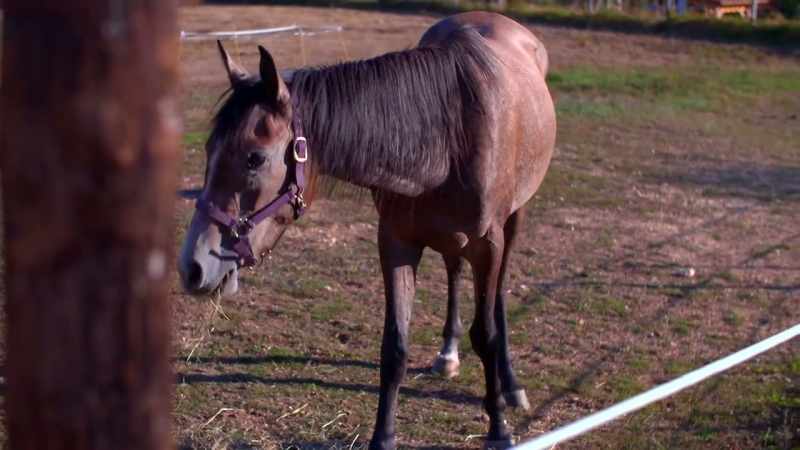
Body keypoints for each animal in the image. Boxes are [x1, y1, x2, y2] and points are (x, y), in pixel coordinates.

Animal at [178, 11, 555, 449]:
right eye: (208, 150)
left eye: (255, 158)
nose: (192, 267)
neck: (447, 140)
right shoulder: (396, 242)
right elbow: (395, 345)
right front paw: (383, 436)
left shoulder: (487, 244)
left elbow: (487, 335)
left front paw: (499, 428)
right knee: (453, 270)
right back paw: (447, 353)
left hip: (514, 220)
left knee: (497, 298)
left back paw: (510, 385)